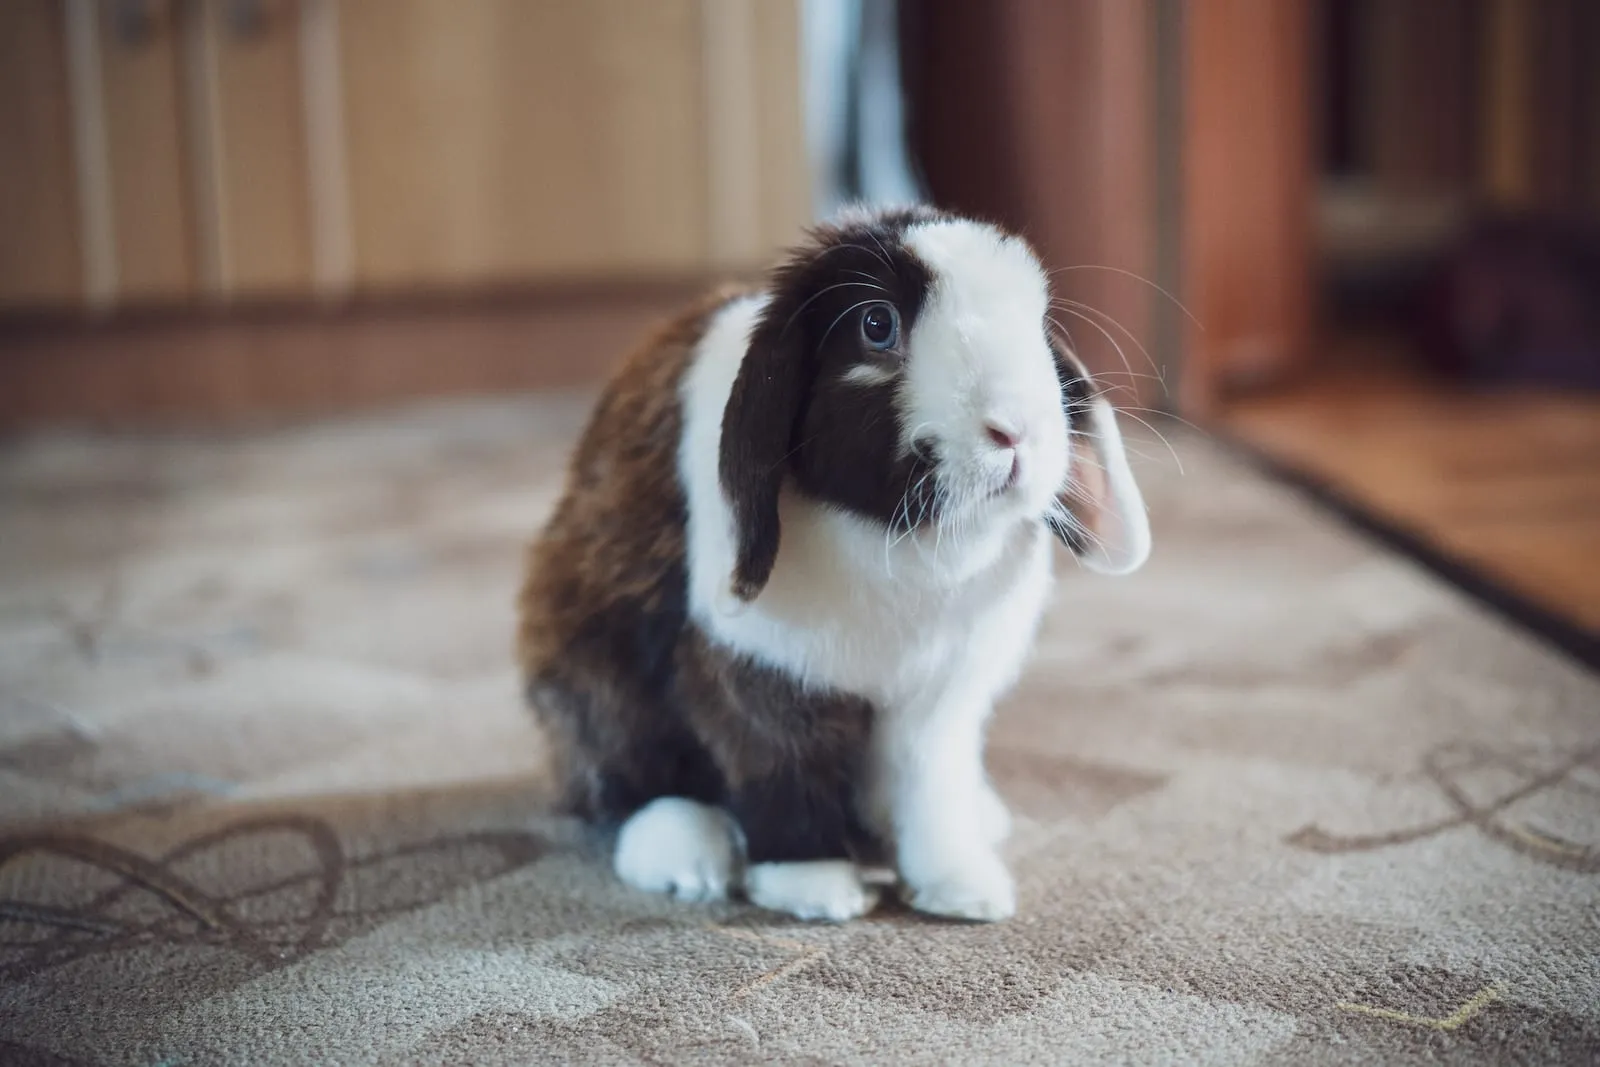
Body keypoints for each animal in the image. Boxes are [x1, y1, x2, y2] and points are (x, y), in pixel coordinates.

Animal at [517, 205, 1151, 923]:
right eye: (877, 325)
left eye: (1038, 325)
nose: (1016, 430)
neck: (903, 539)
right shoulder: (762, 676)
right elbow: (781, 764)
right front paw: (814, 886)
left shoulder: (939, 705)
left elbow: (928, 787)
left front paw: (963, 888)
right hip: (593, 676)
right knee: (624, 782)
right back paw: (689, 858)